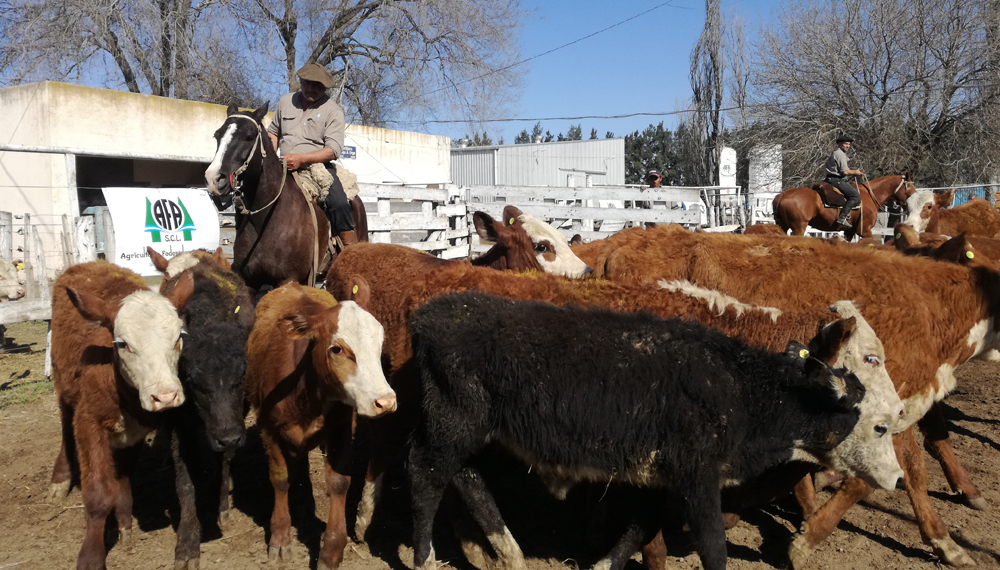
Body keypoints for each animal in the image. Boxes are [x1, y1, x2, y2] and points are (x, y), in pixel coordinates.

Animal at [47, 260, 192, 568]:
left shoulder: (135, 433)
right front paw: (91, 555)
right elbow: (99, 494)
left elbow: (122, 481)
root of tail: (91, 263)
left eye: (179, 337)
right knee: (65, 424)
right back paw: (60, 478)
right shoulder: (88, 422)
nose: (165, 396)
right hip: (63, 387)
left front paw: (124, 526)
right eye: (123, 343)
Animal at [203, 102, 368, 296]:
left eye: (249, 137)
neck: (267, 218)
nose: (214, 178)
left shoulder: (288, 279)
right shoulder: (250, 281)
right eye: (217, 135)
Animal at [246, 280, 394, 568]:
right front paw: (280, 537)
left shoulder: (341, 428)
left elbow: (339, 481)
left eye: (380, 342)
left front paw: (331, 550)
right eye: (337, 349)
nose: (385, 401)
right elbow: (280, 478)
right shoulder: (267, 428)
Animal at [768, 170, 916, 239]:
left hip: (782, 225)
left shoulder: (849, 232)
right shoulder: (865, 230)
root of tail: (781, 196)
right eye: (910, 187)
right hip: (798, 227)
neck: (870, 195)